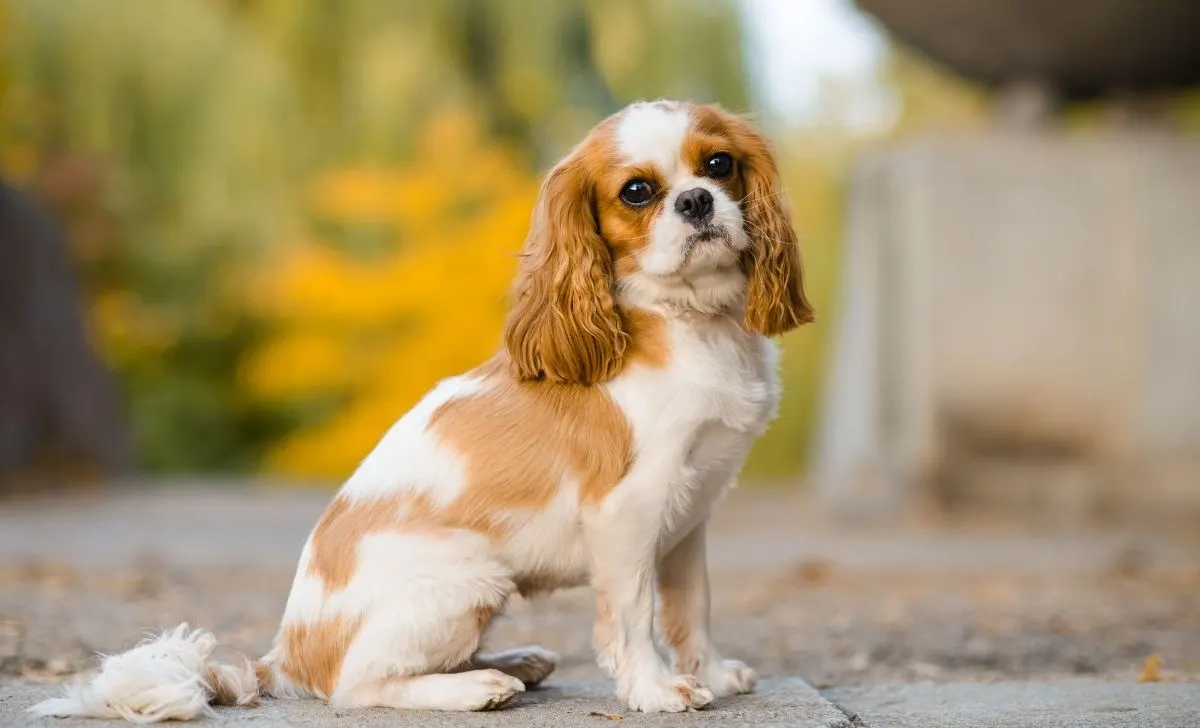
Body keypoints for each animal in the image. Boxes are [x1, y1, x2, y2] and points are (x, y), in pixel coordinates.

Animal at [32, 99, 811, 719]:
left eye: (718, 165)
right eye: (639, 192)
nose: (696, 202)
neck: (689, 324)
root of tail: (284, 658)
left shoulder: (686, 520)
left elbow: (691, 607)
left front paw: (713, 674)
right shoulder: (628, 514)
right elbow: (634, 615)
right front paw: (656, 690)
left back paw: (514, 663)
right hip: (470, 580)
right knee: (359, 686)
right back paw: (474, 688)